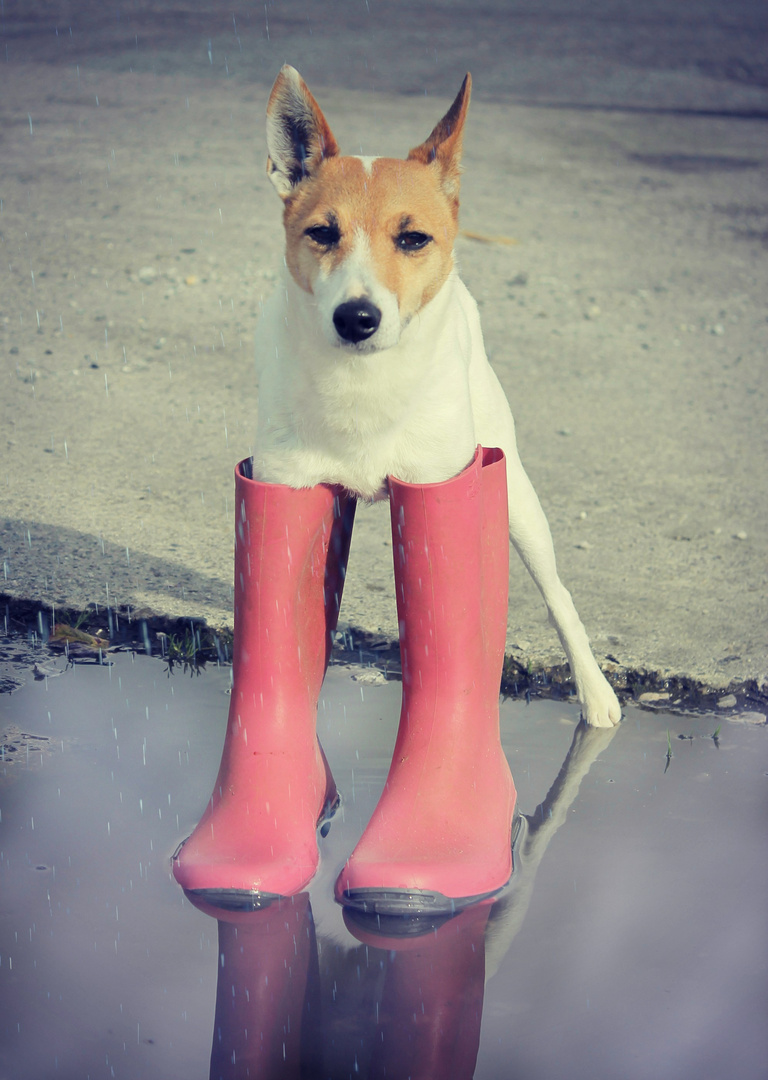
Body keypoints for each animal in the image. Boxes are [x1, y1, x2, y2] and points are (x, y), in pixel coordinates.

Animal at [249, 65, 622, 725]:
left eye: (414, 239)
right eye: (322, 232)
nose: (357, 318)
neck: (365, 386)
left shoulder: (437, 484)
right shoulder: (286, 486)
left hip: (518, 499)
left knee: (556, 592)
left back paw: (595, 692)